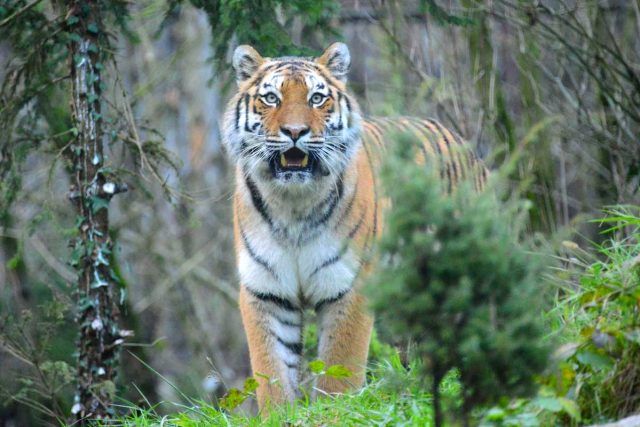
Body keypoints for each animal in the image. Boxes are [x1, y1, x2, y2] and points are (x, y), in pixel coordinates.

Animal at [222, 42, 487, 412]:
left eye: (316, 98)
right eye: (272, 98)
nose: (294, 132)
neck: (292, 204)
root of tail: (462, 142)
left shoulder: (349, 283)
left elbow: (340, 366)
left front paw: (335, 410)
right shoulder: (267, 290)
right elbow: (271, 369)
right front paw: (278, 413)